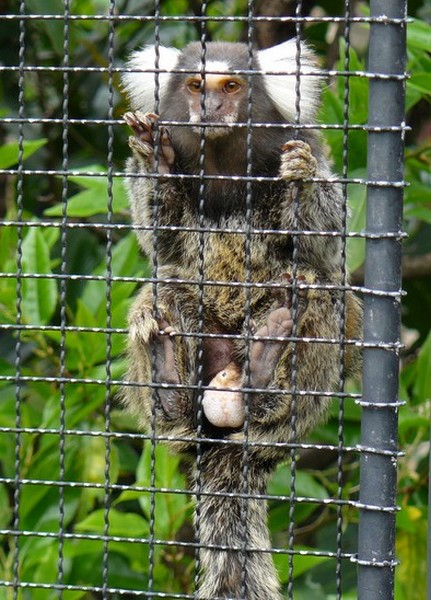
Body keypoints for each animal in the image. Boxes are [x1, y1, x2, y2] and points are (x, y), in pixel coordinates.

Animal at [123, 41, 362, 600]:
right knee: (166, 290)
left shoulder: (304, 144)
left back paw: (265, 364)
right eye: (196, 85)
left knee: (314, 293)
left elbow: (326, 247)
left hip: (304, 397)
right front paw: (156, 159)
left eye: (231, 86)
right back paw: (170, 382)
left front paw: (302, 179)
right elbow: (164, 244)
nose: (210, 107)